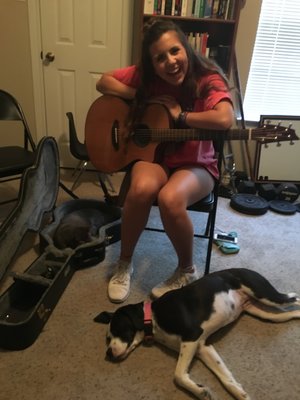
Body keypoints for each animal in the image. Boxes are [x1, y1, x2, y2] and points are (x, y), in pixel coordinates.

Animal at [95, 268, 300, 400]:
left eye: (118, 329)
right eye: (108, 338)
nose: (108, 353)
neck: (152, 317)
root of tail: (246, 268)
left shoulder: (192, 337)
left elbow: (178, 375)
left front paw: (200, 391)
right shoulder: (203, 347)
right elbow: (225, 376)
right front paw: (239, 393)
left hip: (267, 295)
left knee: (295, 297)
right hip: (264, 312)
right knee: (290, 313)